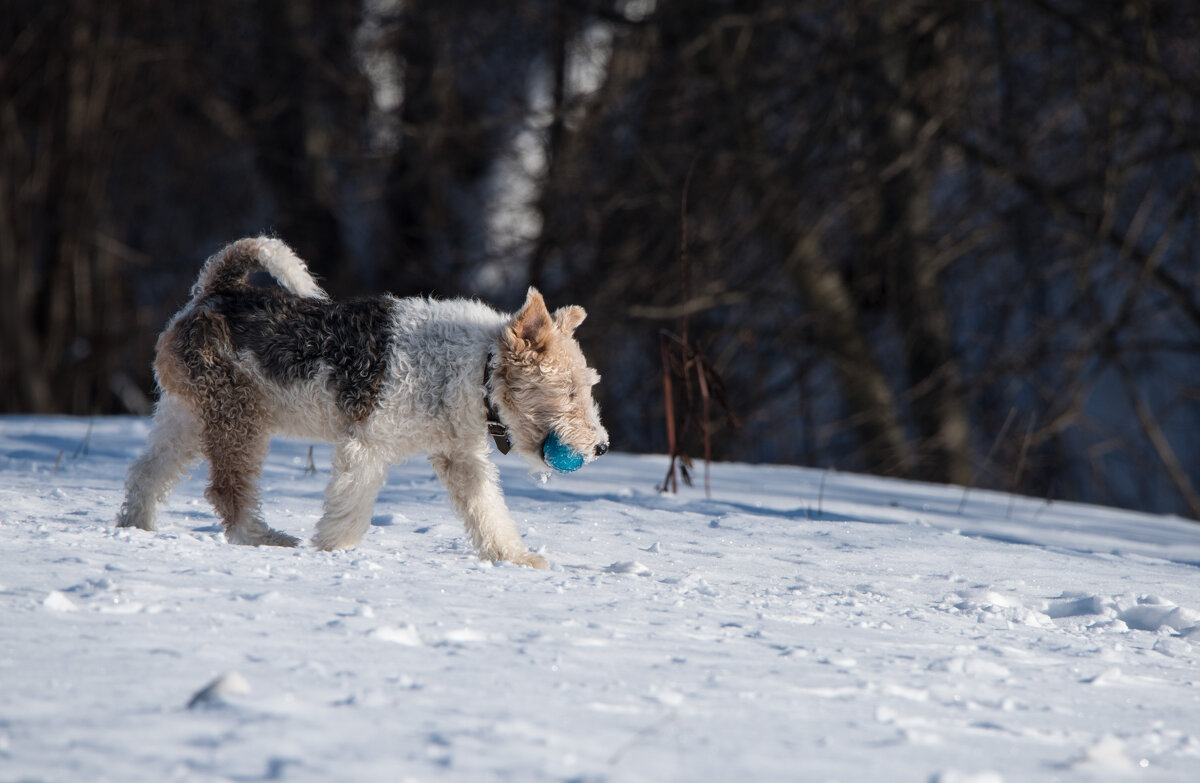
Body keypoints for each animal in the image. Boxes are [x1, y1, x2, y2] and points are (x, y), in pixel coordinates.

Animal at [117, 235, 609, 566]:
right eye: (569, 390)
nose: (602, 446)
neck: (475, 367)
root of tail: (213, 292)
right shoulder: (367, 445)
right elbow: (350, 511)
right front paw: (332, 550)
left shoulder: (460, 458)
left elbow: (489, 512)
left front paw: (517, 558)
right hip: (236, 418)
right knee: (227, 490)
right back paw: (267, 539)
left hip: (189, 415)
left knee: (147, 472)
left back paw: (135, 527)